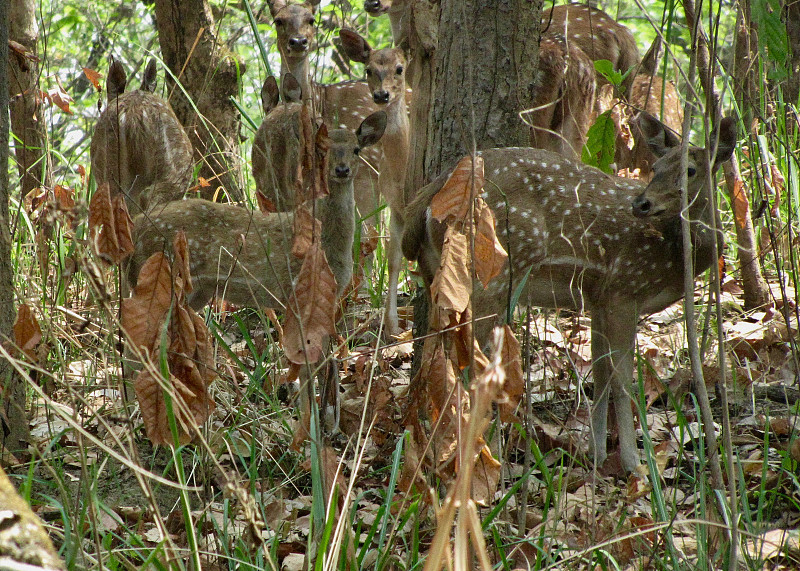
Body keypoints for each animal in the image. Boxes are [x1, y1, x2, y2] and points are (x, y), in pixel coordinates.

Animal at [127, 111, 388, 312]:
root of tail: (136, 226)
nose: (341, 170)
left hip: (197, 290)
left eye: (356, 149)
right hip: (164, 273)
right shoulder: (290, 287)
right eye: (321, 150)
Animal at [400, 113, 736, 474]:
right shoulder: (625, 288)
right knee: (470, 366)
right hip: (491, 276)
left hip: (438, 275)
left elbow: (600, 377)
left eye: (690, 170)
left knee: (440, 358)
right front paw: (634, 464)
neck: (673, 252)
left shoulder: (600, 298)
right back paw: (482, 461)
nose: (642, 203)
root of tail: (426, 200)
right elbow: (622, 380)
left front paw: (598, 454)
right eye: (656, 166)